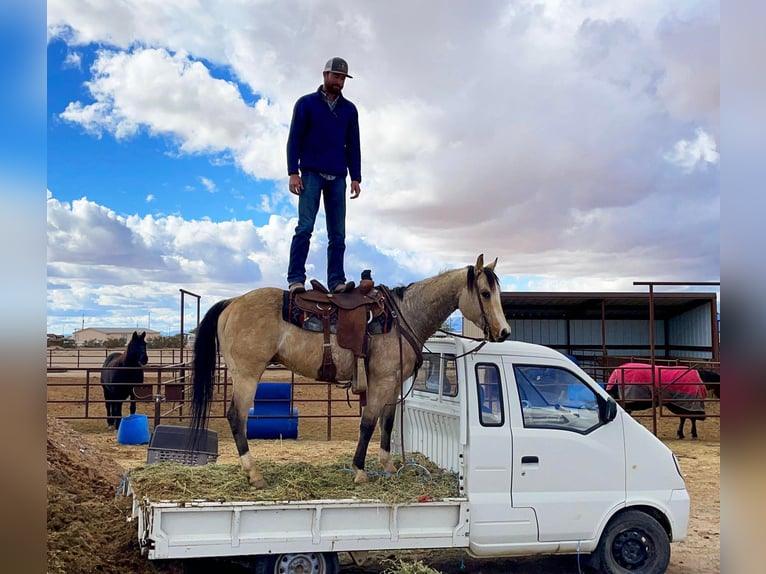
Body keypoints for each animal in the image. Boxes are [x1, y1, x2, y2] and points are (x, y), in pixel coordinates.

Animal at [194, 255, 510, 486]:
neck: (404, 316)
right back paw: (254, 473)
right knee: (237, 417)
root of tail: (232, 302)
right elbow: (368, 423)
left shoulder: (394, 384)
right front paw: (359, 470)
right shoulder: (381, 381)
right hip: (247, 375)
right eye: (485, 293)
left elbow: (387, 423)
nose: (505, 332)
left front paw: (389, 466)